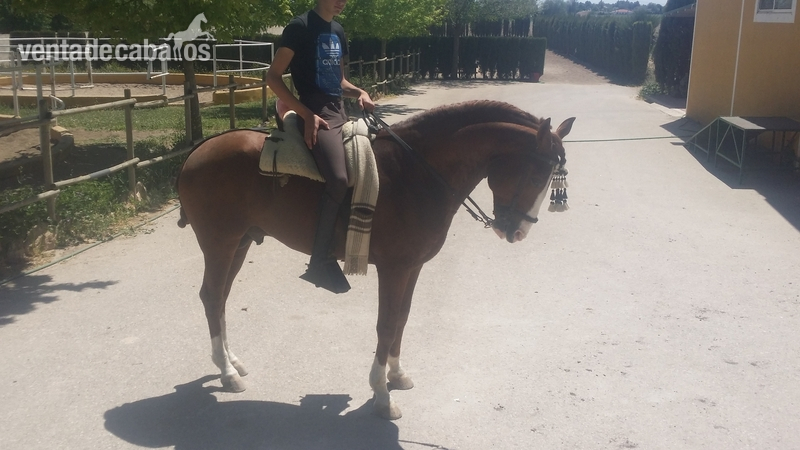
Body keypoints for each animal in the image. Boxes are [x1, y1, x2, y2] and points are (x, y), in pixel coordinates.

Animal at [176, 100, 575, 420]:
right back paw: (226, 373)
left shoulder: (412, 267)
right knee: (212, 296)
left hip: (240, 243)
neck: (417, 172)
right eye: (536, 173)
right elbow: (385, 325)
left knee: (220, 299)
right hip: (221, 243)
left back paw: (231, 362)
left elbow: (401, 318)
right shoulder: (394, 268)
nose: (519, 231)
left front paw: (396, 375)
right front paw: (382, 395)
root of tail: (200, 150)